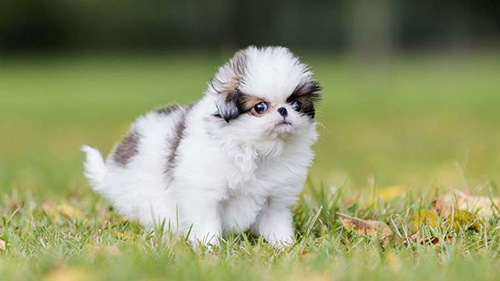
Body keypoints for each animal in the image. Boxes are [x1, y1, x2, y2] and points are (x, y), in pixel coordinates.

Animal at [83, 46, 320, 247]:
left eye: (296, 104)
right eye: (260, 107)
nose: (283, 111)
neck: (255, 149)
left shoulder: (275, 198)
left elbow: (277, 223)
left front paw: (285, 246)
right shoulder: (204, 192)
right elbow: (207, 221)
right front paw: (209, 247)